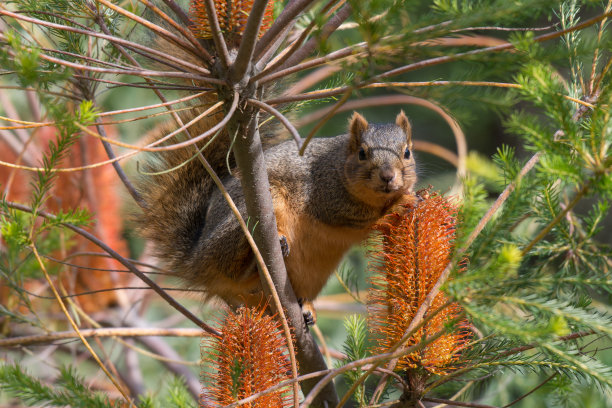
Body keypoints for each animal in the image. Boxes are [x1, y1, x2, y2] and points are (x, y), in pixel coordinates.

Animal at [136, 107, 418, 324]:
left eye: (407, 152)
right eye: (362, 153)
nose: (388, 176)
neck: (338, 163)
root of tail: (195, 259)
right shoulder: (327, 197)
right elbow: (360, 216)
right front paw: (398, 204)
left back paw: (305, 307)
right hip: (246, 217)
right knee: (232, 263)